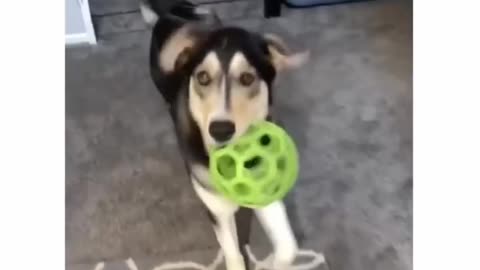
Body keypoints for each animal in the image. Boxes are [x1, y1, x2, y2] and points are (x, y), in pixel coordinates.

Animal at [141, 1, 310, 268]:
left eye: (247, 78)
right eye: (202, 77)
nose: (220, 130)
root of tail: (173, 10)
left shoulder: (265, 191)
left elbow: (287, 249)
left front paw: (271, 262)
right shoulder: (217, 210)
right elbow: (233, 253)